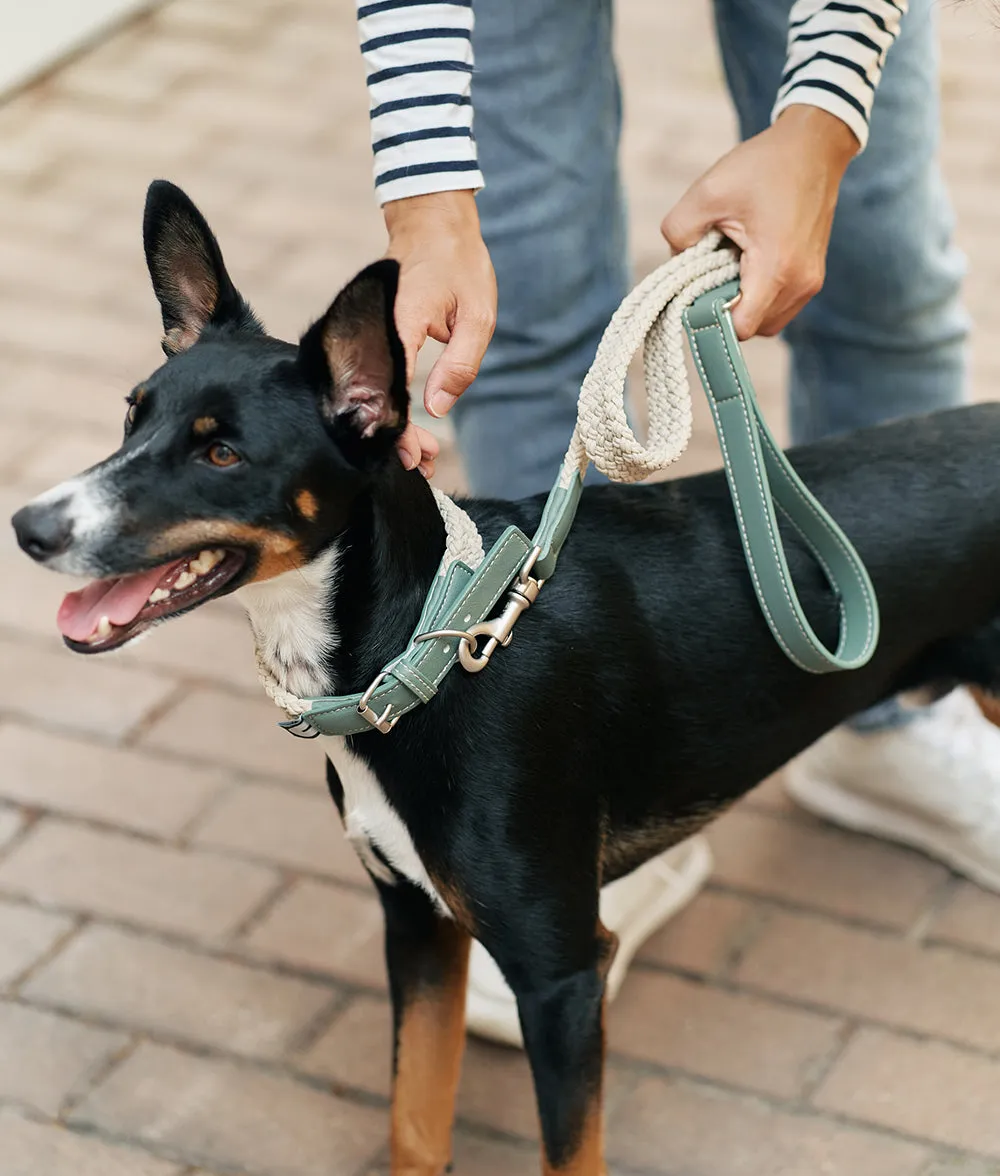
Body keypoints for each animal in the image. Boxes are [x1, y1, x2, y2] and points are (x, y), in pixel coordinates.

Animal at [11, 178, 997, 1171]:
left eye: (222, 453)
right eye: (133, 415)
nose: (30, 526)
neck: (426, 653)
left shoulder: (560, 979)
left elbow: (568, 1152)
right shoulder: (416, 923)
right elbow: (414, 1117)